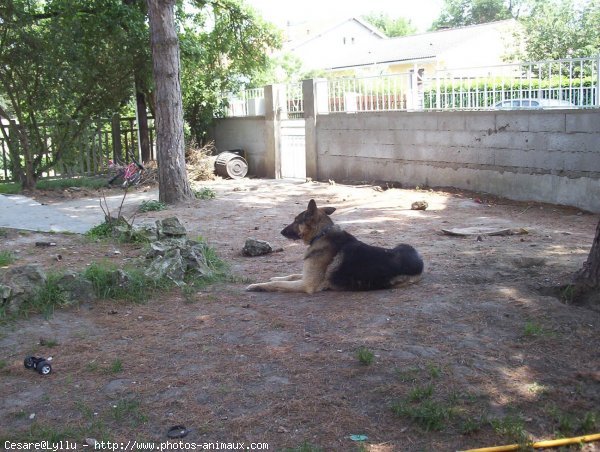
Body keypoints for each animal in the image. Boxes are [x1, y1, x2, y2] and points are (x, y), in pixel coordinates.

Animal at [244, 199, 422, 294]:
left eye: (296, 220)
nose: (281, 232)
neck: (321, 234)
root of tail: (419, 261)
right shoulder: (306, 275)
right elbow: (290, 275)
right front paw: (276, 277)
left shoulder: (307, 284)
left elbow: (276, 285)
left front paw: (256, 286)